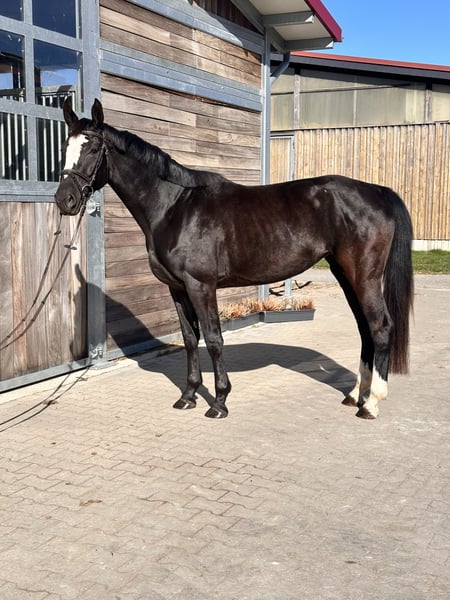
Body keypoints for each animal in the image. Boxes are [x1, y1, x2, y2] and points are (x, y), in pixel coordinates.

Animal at [55, 98, 414, 420]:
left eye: (91, 149)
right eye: (65, 148)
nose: (64, 200)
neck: (174, 208)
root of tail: (378, 191)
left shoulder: (201, 286)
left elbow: (214, 339)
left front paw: (219, 402)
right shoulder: (177, 288)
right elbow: (190, 339)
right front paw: (188, 396)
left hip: (364, 276)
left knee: (380, 327)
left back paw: (371, 403)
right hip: (345, 273)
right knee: (365, 328)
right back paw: (355, 395)